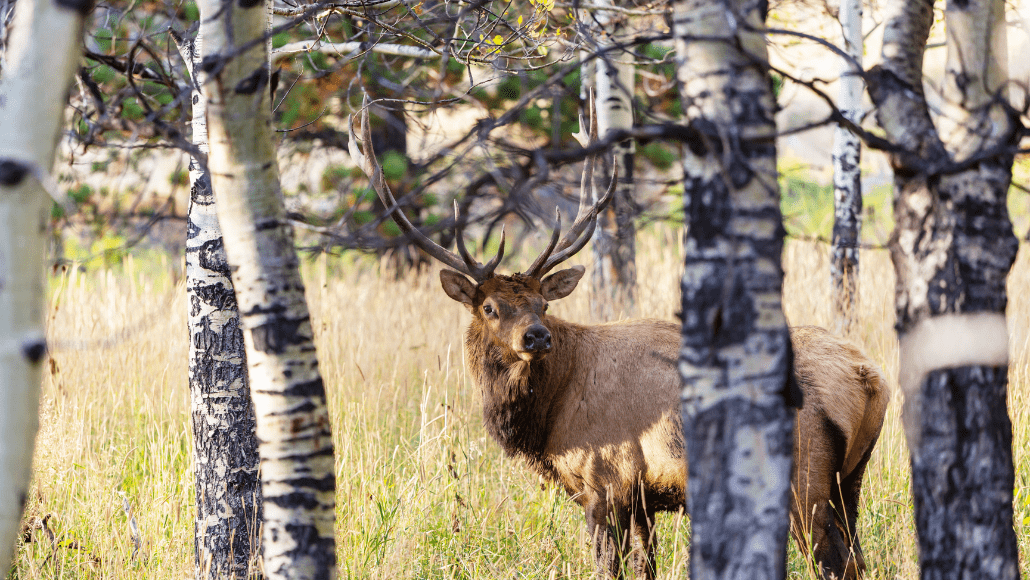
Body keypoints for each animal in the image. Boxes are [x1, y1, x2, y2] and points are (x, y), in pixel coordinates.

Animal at [350, 105, 889, 580]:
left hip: (805, 479)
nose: (537, 336)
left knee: (835, 564)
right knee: (860, 559)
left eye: (542, 305)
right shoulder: (643, 498)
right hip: (851, 479)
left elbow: (608, 568)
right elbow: (644, 567)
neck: (548, 419)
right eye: (491, 308)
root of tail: (870, 378)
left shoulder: (604, 483)